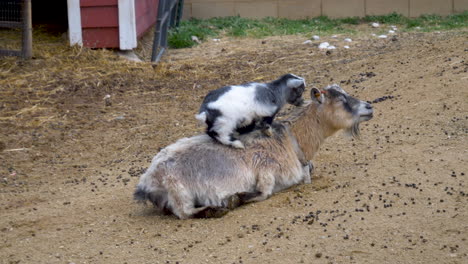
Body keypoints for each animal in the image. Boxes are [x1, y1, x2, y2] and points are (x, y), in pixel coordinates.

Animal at [134, 84, 372, 219]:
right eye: (340, 100)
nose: (369, 106)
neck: (291, 140)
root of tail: (147, 182)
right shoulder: (265, 168)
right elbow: (264, 192)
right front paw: (238, 197)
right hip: (178, 189)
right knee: (183, 212)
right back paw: (218, 207)